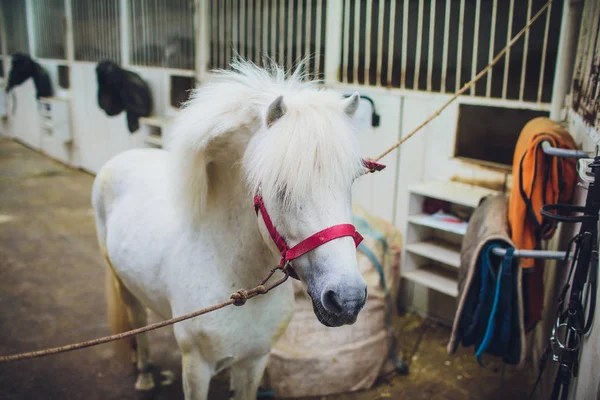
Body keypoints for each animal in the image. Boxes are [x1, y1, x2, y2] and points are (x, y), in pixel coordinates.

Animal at [91, 60, 368, 400]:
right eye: (279, 185)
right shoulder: (196, 367)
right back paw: (143, 374)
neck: (233, 275)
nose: (347, 299)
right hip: (122, 282)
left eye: (351, 180)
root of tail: (124, 157)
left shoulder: (254, 362)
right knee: (138, 319)